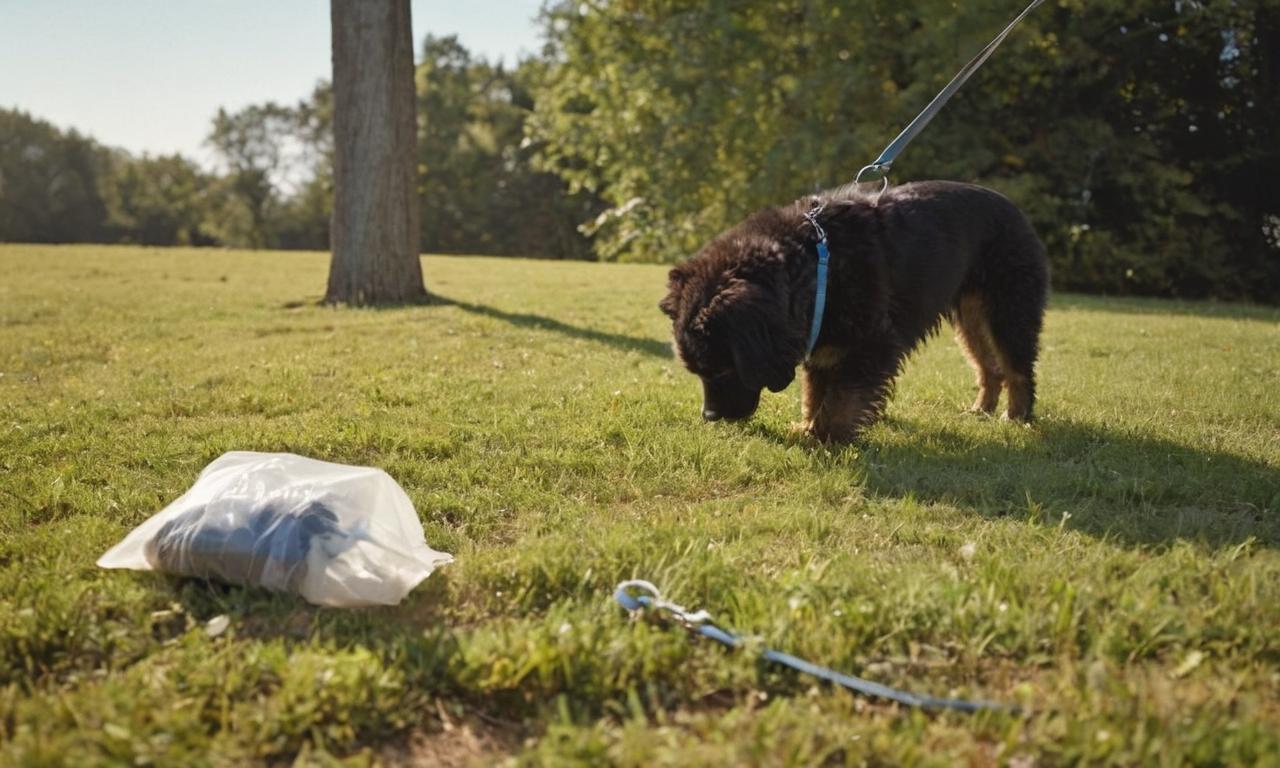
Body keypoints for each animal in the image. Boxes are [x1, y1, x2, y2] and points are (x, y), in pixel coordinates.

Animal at [660, 180, 1049, 440]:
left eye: (724, 370)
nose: (709, 416)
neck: (816, 262)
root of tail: (1013, 206)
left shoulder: (872, 342)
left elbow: (841, 401)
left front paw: (822, 438)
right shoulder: (821, 337)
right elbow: (815, 393)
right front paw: (807, 426)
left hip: (1007, 308)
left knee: (1018, 369)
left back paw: (1016, 417)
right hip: (970, 315)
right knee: (990, 367)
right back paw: (981, 410)